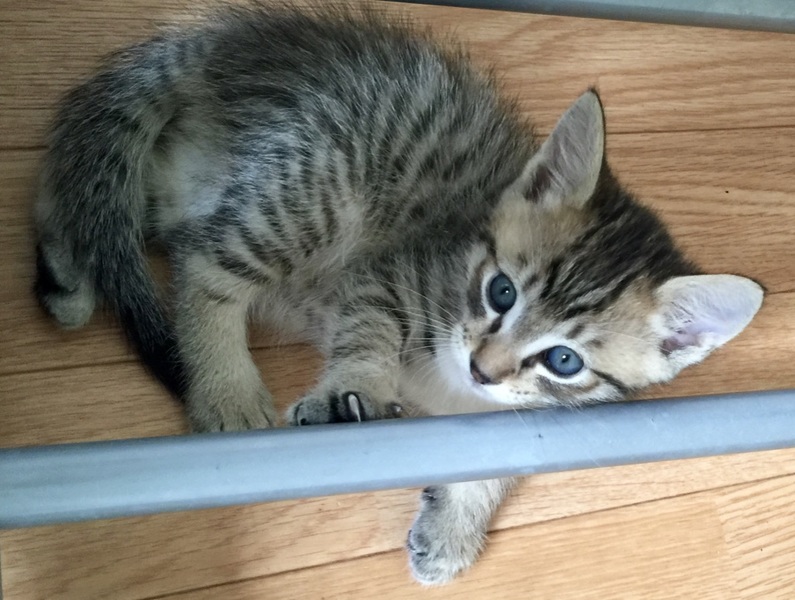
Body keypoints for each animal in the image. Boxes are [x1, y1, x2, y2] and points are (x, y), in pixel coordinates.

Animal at [34, 4, 763, 585]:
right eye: (500, 292)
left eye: (564, 361)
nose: (481, 369)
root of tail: (239, 45)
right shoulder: (388, 276)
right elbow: (366, 331)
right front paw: (347, 390)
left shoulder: (520, 411)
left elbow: (502, 452)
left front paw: (455, 529)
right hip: (319, 186)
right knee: (202, 260)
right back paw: (226, 389)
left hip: (206, 181)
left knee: (110, 192)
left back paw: (66, 275)